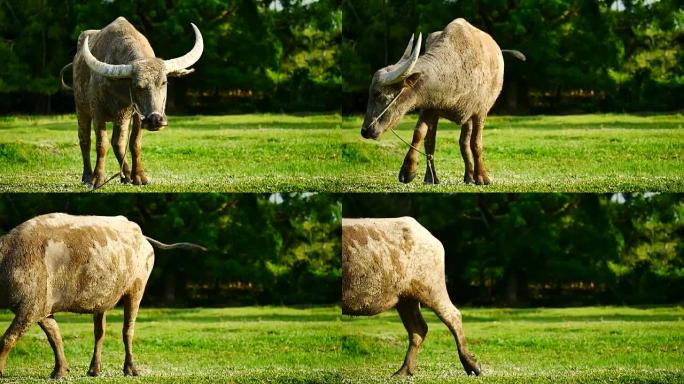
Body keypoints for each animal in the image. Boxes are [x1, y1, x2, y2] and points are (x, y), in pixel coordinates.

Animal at [0, 213, 206, 378]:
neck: (7, 259)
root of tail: (141, 235)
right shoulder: (42, 310)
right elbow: (55, 336)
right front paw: (60, 371)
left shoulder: (30, 308)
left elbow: (8, 338)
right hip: (102, 299)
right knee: (100, 332)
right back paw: (94, 370)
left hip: (136, 288)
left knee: (128, 330)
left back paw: (130, 369)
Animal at [67, 17, 206, 188]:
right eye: (138, 86)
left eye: (164, 82)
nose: (155, 120)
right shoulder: (98, 111)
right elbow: (101, 144)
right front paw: (97, 179)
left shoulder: (136, 115)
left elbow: (134, 143)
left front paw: (139, 176)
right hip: (82, 110)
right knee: (85, 140)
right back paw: (87, 176)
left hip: (121, 118)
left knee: (118, 142)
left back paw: (126, 175)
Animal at [342, 218, 480, 376]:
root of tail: (432, 239)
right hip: (406, 298)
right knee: (418, 328)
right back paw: (403, 372)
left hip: (431, 286)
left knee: (453, 315)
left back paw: (472, 366)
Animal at [360, 18, 528, 186]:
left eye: (378, 94)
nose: (365, 130)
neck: (453, 69)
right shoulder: (429, 109)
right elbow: (422, 137)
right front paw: (414, 173)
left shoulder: (480, 112)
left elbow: (476, 144)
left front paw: (483, 177)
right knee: (462, 142)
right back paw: (468, 176)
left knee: (466, 142)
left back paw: (472, 176)